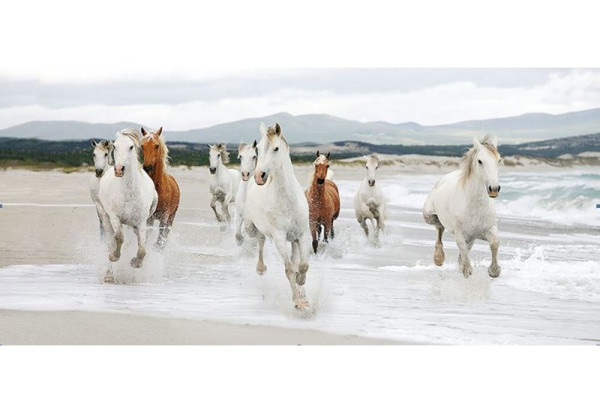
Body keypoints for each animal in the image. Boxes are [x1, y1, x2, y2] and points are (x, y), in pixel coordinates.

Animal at [96, 127, 157, 278]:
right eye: (115, 146)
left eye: (131, 147)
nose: (119, 169)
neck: (129, 192)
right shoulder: (115, 218)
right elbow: (118, 238)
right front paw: (114, 256)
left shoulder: (141, 221)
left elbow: (142, 248)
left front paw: (136, 263)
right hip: (104, 216)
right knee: (110, 240)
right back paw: (109, 273)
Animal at [243, 120, 310, 308]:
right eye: (257, 149)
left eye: (276, 148)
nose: (259, 176)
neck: (288, 200)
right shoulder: (279, 236)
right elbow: (289, 270)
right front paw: (298, 301)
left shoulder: (302, 234)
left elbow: (302, 265)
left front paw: (301, 286)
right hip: (251, 228)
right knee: (260, 239)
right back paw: (261, 268)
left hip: (294, 239)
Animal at [422, 134, 502, 278]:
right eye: (480, 161)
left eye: (499, 160)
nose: (494, 189)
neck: (475, 205)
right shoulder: (460, 234)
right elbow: (462, 248)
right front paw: (466, 269)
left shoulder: (489, 229)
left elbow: (494, 244)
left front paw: (494, 271)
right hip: (429, 216)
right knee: (439, 227)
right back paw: (439, 258)